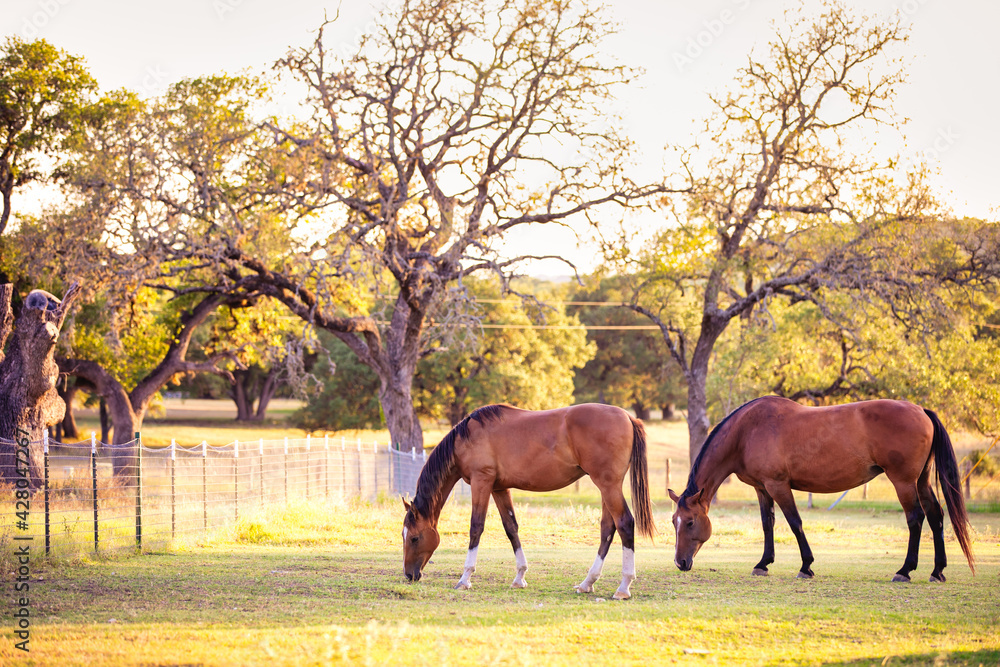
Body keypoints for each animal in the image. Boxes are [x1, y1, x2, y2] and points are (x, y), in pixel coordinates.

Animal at [402, 403, 656, 599]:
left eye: (414, 538)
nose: (409, 575)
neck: (466, 438)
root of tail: (628, 417)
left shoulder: (481, 482)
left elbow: (476, 528)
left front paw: (465, 578)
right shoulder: (499, 488)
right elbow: (511, 528)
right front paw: (520, 577)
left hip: (608, 486)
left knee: (624, 523)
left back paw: (623, 587)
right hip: (605, 488)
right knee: (607, 529)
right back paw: (587, 583)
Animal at [668, 396, 974, 582]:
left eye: (691, 522)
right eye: (674, 522)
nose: (680, 562)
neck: (748, 431)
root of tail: (921, 410)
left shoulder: (778, 485)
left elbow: (795, 523)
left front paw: (806, 566)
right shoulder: (762, 488)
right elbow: (768, 524)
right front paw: (763, 563)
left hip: (903, 482)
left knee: (916, 519)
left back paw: (905, 570)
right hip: (921, 481)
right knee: (935, 517)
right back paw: (937, 571)